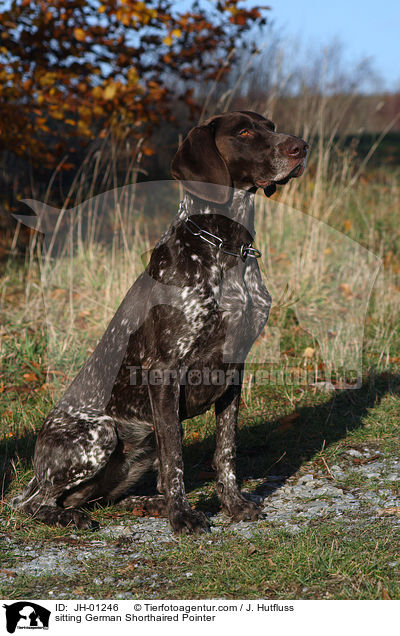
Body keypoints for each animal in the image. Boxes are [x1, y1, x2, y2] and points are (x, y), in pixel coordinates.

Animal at [10, 113, 308, 532]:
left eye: (271, 125)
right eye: (245, 132)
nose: (301, 146)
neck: (225, 247)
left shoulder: (234, 367)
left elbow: (226, 451)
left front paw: (233, 505)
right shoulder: (163, 370)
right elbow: (176, 458)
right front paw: (182, 516)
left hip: (140, 443)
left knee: (101, 498)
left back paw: (147, 504)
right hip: (101, 432)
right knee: (35, 503)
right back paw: (69, 516)